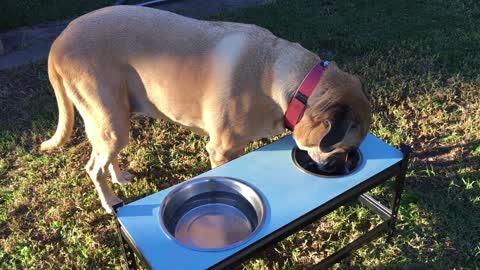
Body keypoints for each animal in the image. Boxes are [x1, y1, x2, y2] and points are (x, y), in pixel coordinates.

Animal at [41, 5, 372, 214]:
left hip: (116, 118)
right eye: (343, 148)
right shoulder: (221, 151)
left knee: (105, 158)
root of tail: (58, 42)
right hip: (110, 122)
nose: (341, 168)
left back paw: (119, 177)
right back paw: (110, 202)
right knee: (93, 167)